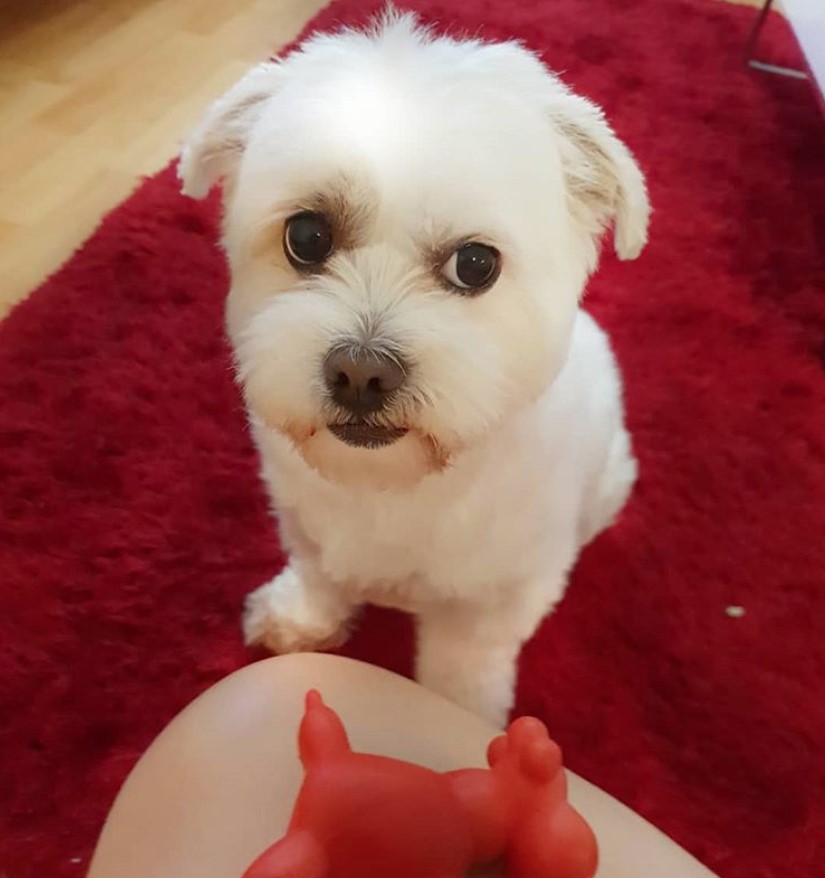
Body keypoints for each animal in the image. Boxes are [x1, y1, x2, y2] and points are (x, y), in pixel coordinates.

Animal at [180, 8, 652, 728]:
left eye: (476, 264)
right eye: (306, 236)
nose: (359, 373)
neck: (399, 485)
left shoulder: (498, 594)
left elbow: (464, 666)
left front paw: (457, 723)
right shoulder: (304, 515)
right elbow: (319, 571)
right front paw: (302, 618)